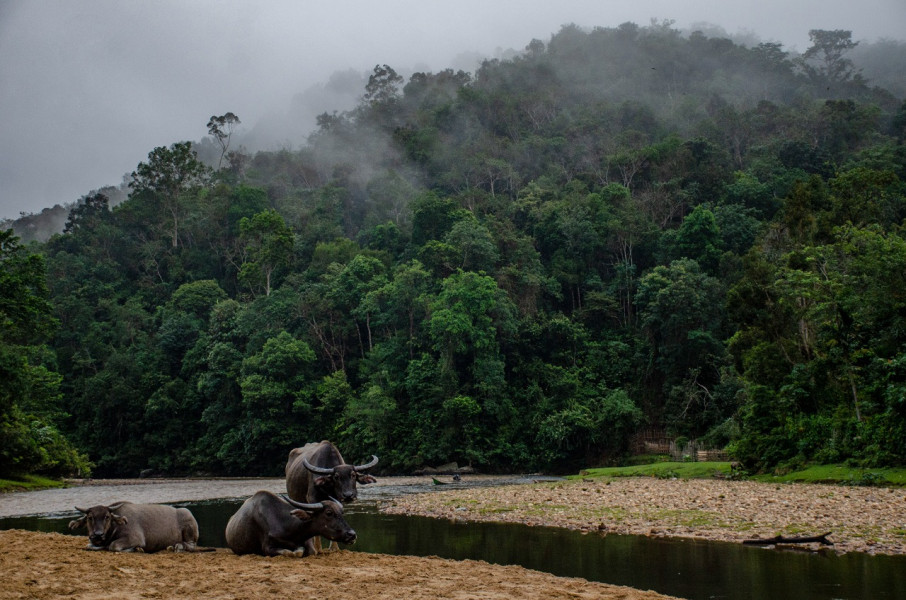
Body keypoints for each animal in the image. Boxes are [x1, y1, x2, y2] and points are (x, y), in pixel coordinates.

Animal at [66, 502, 204, 552]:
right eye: (90, 517)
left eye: (107, 517)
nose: (98, 534)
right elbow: (89, 545)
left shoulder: (135, 538)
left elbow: (113, 546)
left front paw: (136, 549)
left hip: (189, 524)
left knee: (191, 544)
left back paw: (178, 546)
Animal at [224, 488, 354, 556]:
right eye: (329, 513)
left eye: (341, 512)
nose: (352, 534)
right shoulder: (267, 548)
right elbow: (291, 552)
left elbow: (309, 551)